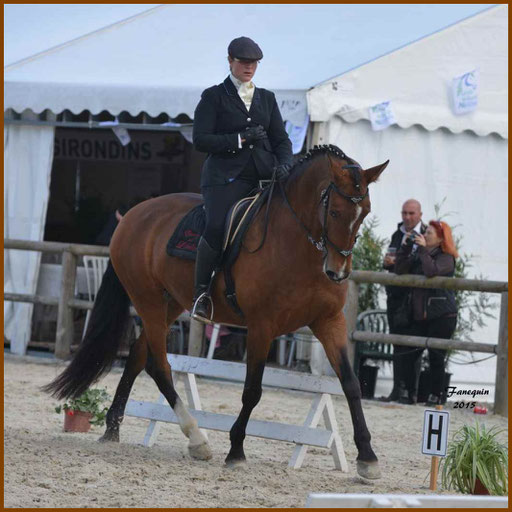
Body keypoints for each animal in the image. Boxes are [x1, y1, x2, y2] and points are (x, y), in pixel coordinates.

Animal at [45, 144, 388, 480]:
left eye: (366, 212)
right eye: (334, 211)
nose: (337, 272)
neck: (300, 245)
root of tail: (133, 214)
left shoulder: (329, 321)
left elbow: (351, 384)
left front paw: (368, 458)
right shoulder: (261, 326)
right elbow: (252, 390)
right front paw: (236, 451)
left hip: (171, 302)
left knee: (138, 354)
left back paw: (113, 428)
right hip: (147, 299)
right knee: (159, 366)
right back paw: (197, 440)